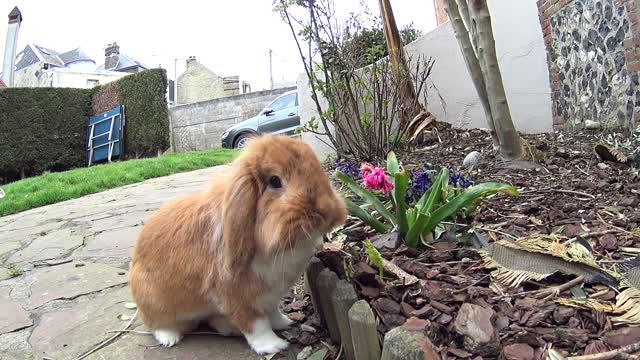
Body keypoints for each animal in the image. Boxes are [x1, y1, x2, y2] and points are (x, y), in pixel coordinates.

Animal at [128, 134, 348, 354]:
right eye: (275, 181)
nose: (326, 211)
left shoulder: (270, 295)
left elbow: (273, 312)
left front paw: (285, 323)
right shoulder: (238, 297)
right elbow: (256, 325)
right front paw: (274, 346)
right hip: (155, 304)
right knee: (158, 324)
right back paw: (170, 338)